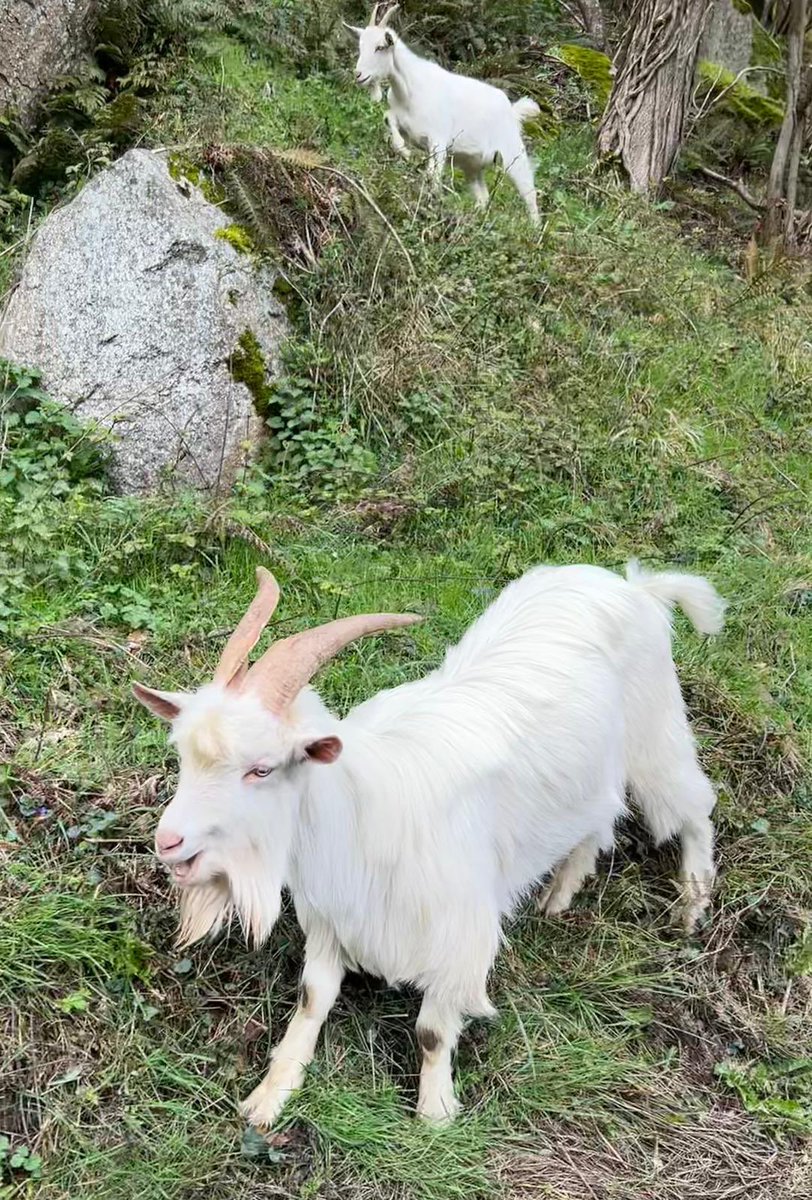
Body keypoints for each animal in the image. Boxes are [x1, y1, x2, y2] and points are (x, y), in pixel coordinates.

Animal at [134, 560, 724, 1127]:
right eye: (184, 754)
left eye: (261, 769)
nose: (169, 842)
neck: (363, 811)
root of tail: (635, 587)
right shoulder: (335, 918)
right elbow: (312, 998)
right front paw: (271, 1094)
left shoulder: (457, 935)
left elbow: (433, 1031)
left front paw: (435, 1115)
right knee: (598, 821)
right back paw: (559, 895)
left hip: (656, 735)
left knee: (694, 803)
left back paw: (692, 903)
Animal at [344, 5, 541, 223]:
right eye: (360, 46)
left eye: (380, 47)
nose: (359, 75)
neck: (410, 89)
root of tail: (513, 110)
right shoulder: (407, 126)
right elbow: (389, 119)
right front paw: (405, 152)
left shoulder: (438, 141)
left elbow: (433, 175)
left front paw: (432, 203)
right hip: (472, 165)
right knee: (483, 196)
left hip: (513, 153)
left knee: (529, 192)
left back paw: (534, 229)